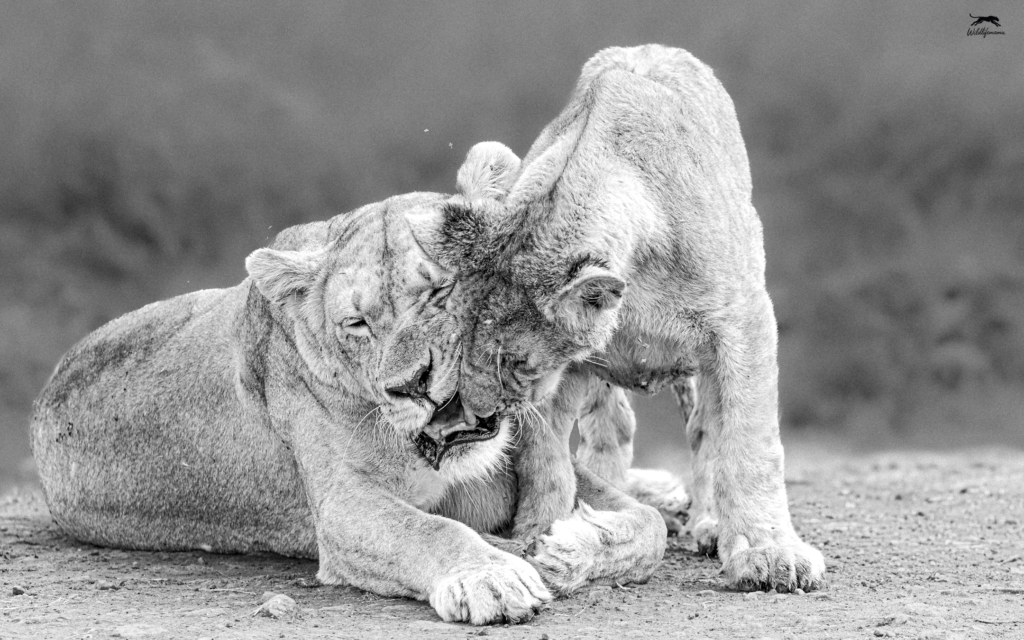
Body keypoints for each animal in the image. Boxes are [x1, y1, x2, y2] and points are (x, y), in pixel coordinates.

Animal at [30, 192, 667, 625]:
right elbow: (429, 529)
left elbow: (648, 528)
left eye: (441, 293)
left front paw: (567, 550)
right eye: (358, 324)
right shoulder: (343, 508)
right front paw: (493, 574)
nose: (413, 386)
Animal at [407, 44, 827, 593]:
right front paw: (542, 536)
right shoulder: (562, 378)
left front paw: (769, 553)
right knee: (613, 427)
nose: (471, 421)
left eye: (518, 364)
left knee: (703, 428)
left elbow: (747, 442)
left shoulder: (743, 324)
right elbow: (546, 462)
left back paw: (711, 523)